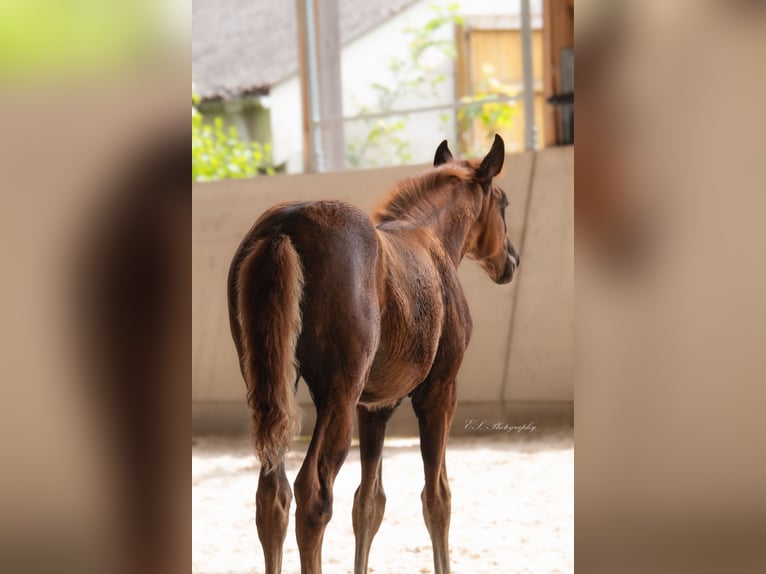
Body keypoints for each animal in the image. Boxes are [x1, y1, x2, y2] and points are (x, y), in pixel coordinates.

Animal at [225, 136, 520, 574]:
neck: (431, 238)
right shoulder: (438, 393)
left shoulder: (376, 406)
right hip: (339, 396)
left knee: (272, 496)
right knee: (313, 493)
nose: (511, 260)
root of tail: (283, 228)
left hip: (271, 386)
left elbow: (368, 503)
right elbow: (437, 497)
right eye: (503, 203)